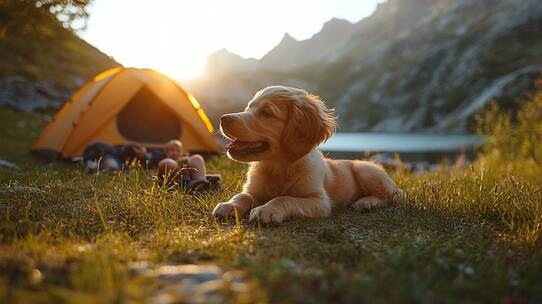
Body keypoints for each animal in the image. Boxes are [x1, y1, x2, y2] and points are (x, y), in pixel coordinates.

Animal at [215, 85, 406, 223]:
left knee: (395, 196)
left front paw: (266, 209)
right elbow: (243, 195)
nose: (223, 118)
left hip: (367, 171)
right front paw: (228, 205)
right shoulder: (253, 190)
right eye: (248, 107)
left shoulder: (319, 201)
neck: (278, 167)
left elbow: (284, 198)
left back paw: (366, 202)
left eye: (266, 113)